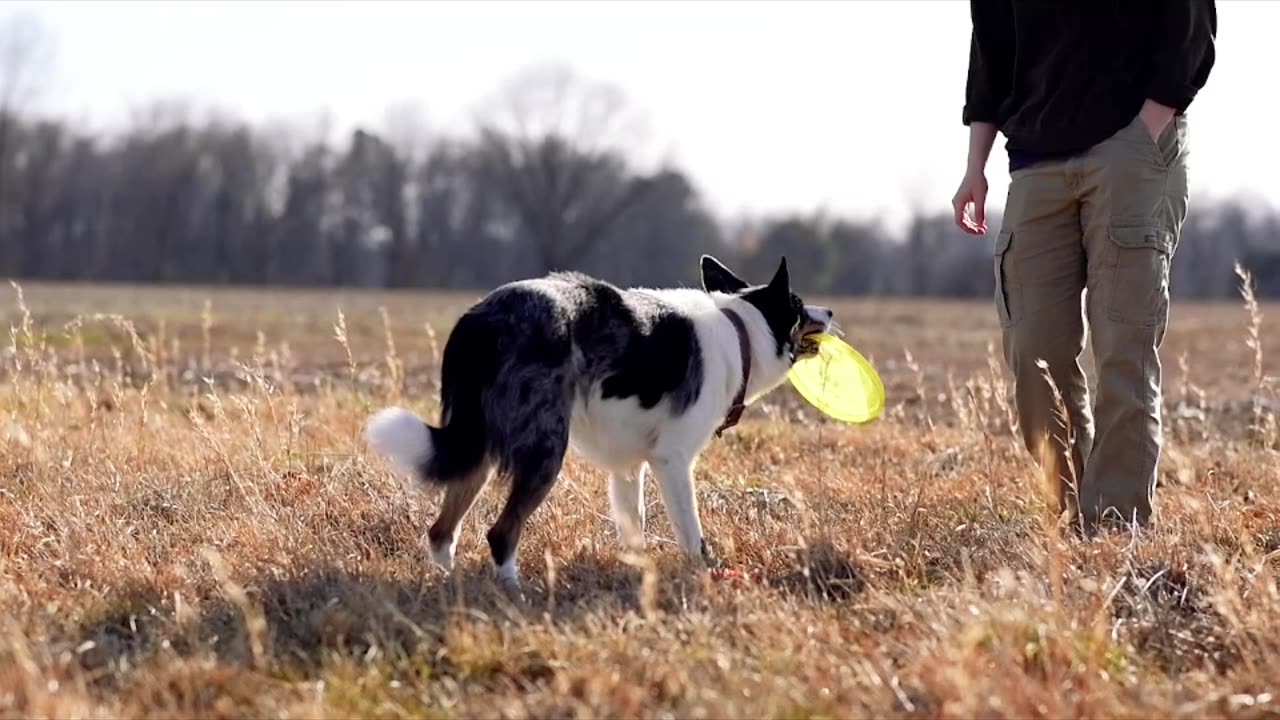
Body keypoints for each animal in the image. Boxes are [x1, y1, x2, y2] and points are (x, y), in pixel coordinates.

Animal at [366, 252, 834, 589]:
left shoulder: (630, 468)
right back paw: (514, 591)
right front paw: (703, 574)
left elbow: (635, 526)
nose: (829, 311)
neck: (740, 329)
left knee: (441, 531)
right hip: (545, 451)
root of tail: (480, 320)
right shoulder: (673, 461)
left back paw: (450, 583)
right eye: (798, 305)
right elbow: (691, 533)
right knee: (501, 533)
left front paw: (638, 569)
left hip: (476, 449)